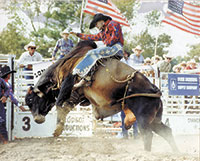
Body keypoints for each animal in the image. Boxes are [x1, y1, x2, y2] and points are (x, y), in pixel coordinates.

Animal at [24, 40, 178, 152]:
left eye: (31, 100)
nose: (37, 119)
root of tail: (155, 91)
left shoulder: (70, 81)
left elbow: (61, 103)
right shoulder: (77, 94)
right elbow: (67, 107)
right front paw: (58, 129)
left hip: (143, 118)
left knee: (148, 135)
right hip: (154, 120)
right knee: (167, 131)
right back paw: (176, 152)